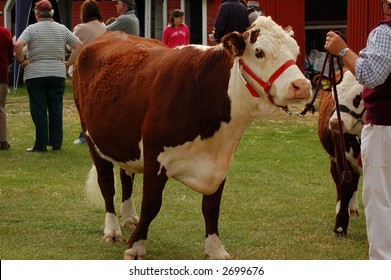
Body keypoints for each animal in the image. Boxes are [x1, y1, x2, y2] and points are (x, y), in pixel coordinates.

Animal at [72, 16, 312, 260]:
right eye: (259, 51)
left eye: (295, 51)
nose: (302, 86)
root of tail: (110, 34)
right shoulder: (155, 157)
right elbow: (151, 204)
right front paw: (136, 246)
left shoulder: (221, 162)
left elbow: (212, 207)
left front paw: (216, 249)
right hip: (92, 137)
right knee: (107, 184)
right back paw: (112, 230)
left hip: (124, 138)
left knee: (126, 175)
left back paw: (129, 218)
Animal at [318, 70, 368, 236]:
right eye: (334, 96)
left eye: (358, 97)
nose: (334, 123)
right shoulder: (341, 155)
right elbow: (345, 187)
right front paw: (340, 226)